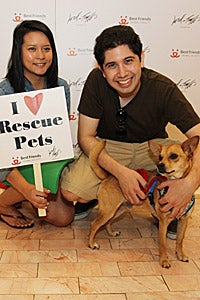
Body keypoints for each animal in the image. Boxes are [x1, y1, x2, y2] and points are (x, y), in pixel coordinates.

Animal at [88, 136, 199, 268]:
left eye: (173, 156)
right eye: (160, 156)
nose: (159, 165)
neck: (174, 187)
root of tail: (108, 176)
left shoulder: (183, 221)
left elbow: (180, 240)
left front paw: (180, 255)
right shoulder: (163, 223)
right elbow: (163, 244)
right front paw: (164, 260)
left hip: (118, 210)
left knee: (107, 223)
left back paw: (111, 233)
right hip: (108, 211)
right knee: (94, 225)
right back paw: (91, 244)